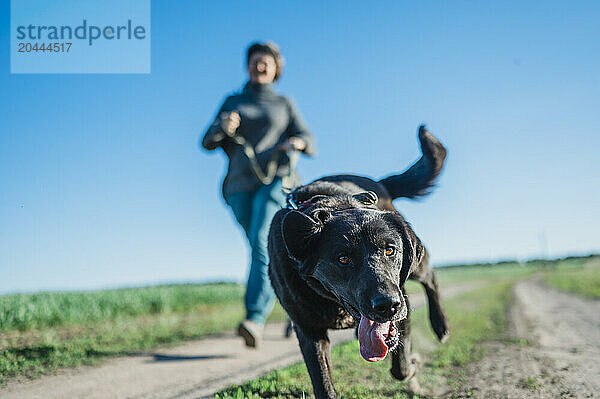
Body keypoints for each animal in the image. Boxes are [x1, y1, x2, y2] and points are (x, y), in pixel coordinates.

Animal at [268, 126, 450, 399]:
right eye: (343, 258)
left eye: (389, 250)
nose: (388, 306)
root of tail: (377, 183)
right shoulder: (308, 331)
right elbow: (323, 383)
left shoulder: (402, 303)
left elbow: (401, 366)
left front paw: (413, 365)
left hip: (415, 267)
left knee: (431, 277)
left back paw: (440, 325)